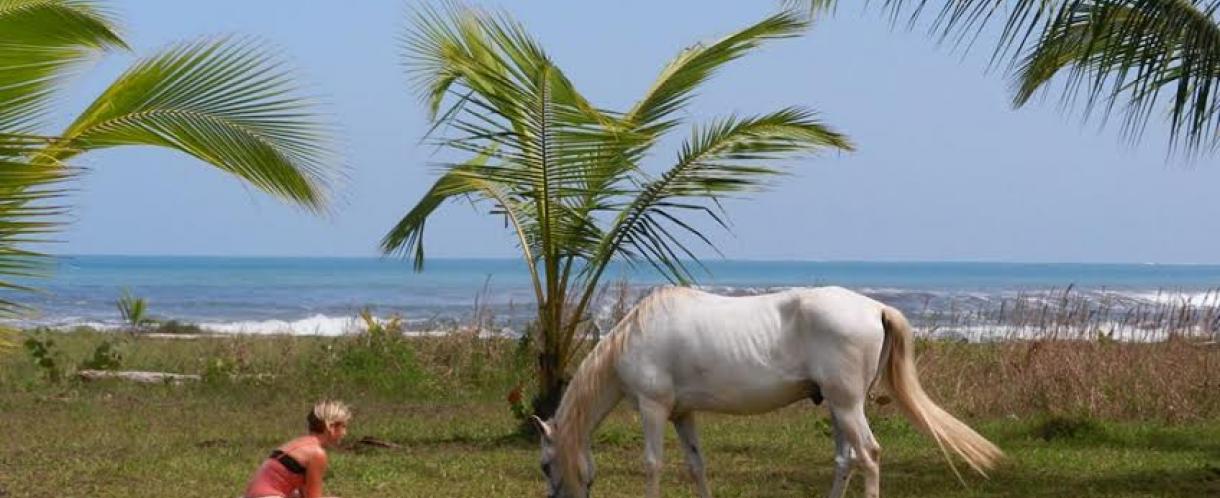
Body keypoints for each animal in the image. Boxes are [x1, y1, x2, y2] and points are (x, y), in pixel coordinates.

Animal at [531, 285, 1000, 498]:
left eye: (544, 465)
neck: (634, 336)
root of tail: (875, 308)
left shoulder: (653, 408)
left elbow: (652, 464)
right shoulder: (683, 414)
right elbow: (696, 465)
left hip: (848, 405)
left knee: (868, 455)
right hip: (838, 408)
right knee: (845, 459)